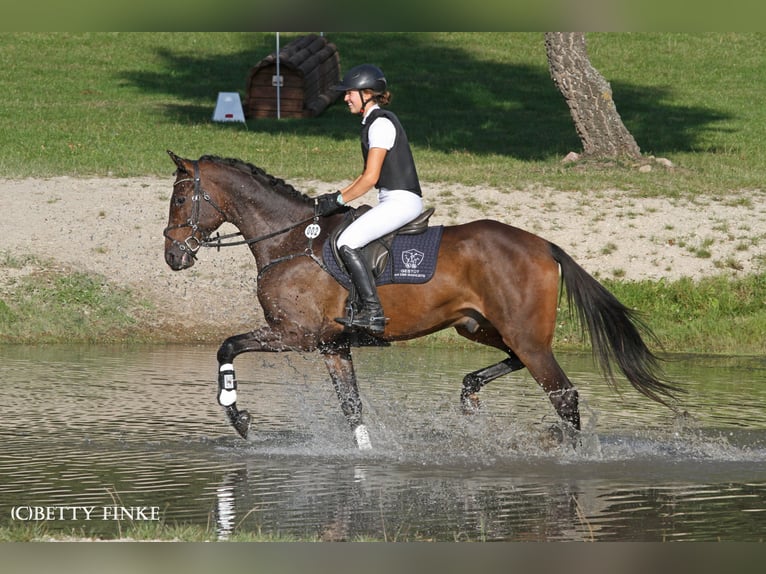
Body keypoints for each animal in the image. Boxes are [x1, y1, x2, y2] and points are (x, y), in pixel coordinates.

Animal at [165, 152, 680, 450]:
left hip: (525, 337)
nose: (173, 256)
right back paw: (470, 393)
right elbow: (352, 407)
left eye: (180, 198)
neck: (289, 239)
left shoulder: (296, 334)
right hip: (481, 326)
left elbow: (227, 346)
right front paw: (366, 454)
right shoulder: (332, 347)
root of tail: (542, 244)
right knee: (514, 363)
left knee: (564, 395)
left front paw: (238, 416)